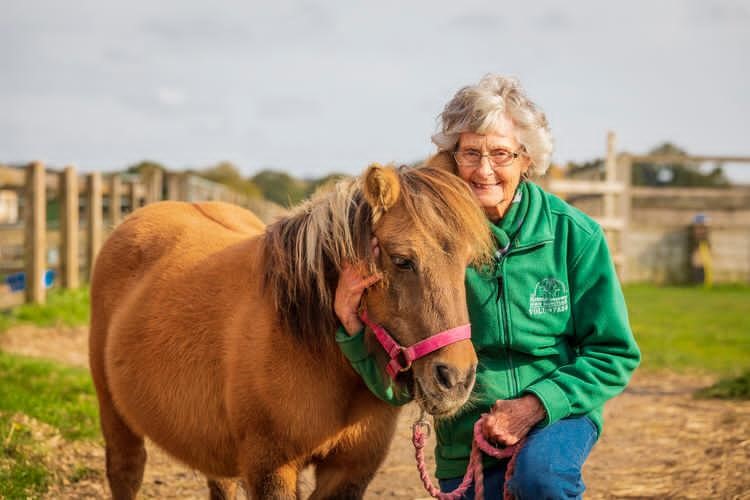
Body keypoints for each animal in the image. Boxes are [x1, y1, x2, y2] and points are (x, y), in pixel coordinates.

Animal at [89, 163, 494, 499]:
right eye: (402, 261)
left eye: (466, 264)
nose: (456, 378)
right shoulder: (270, 468)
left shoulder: (349, 471)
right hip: (116, 418)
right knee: (126, 471)